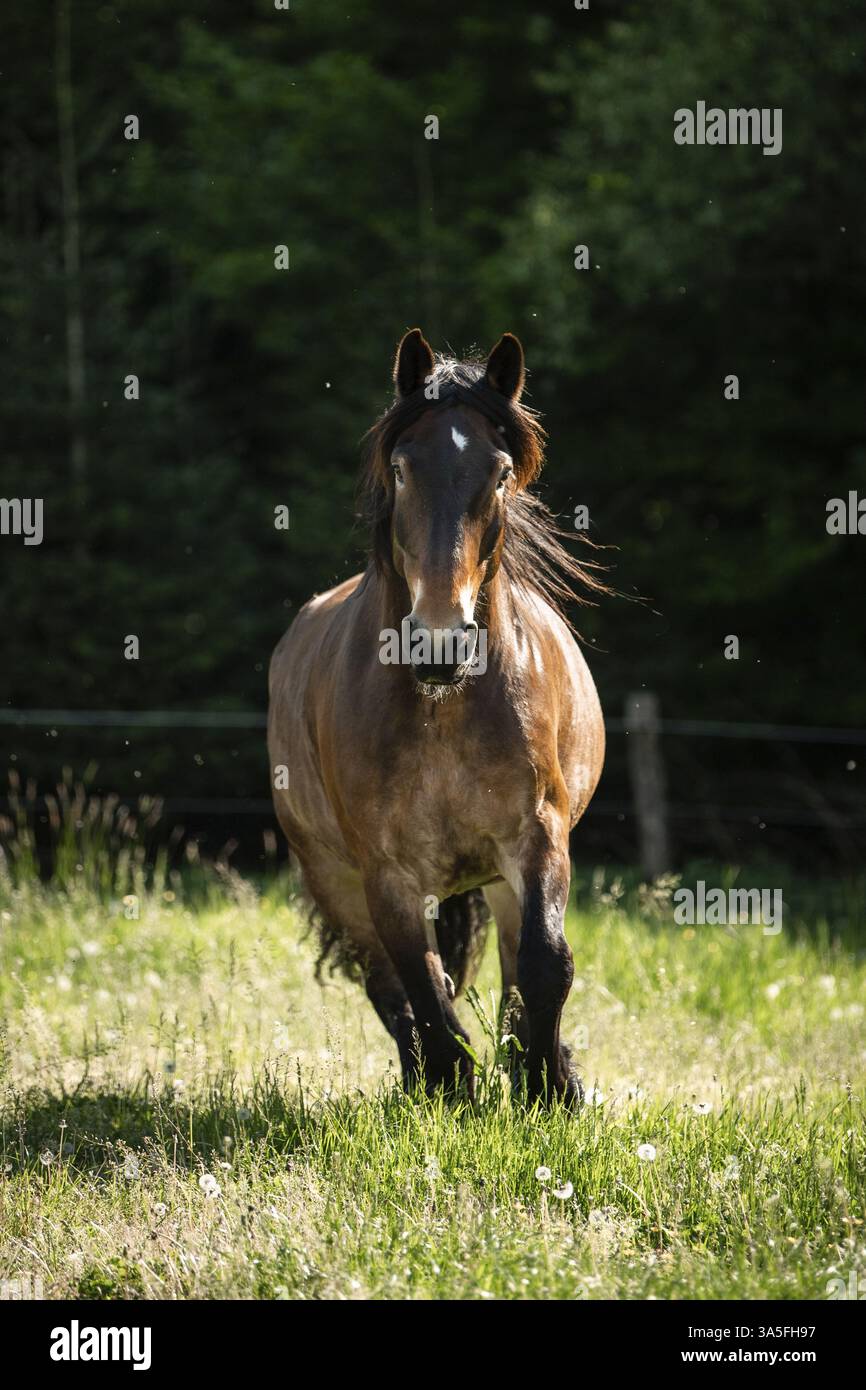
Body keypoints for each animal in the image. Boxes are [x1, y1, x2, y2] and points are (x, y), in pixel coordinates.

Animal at [268, 329, 606, 1105]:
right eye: (401, 468)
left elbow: (545, 964)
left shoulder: (537, 839)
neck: (443, 714)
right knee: (387, 986)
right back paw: (423, 1081)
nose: (440, 642)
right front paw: (456, 1093)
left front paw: (549, 1090)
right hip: (335, 881)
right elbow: (422, 985)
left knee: (513, 969)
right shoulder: (385, 875)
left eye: (501, 472)